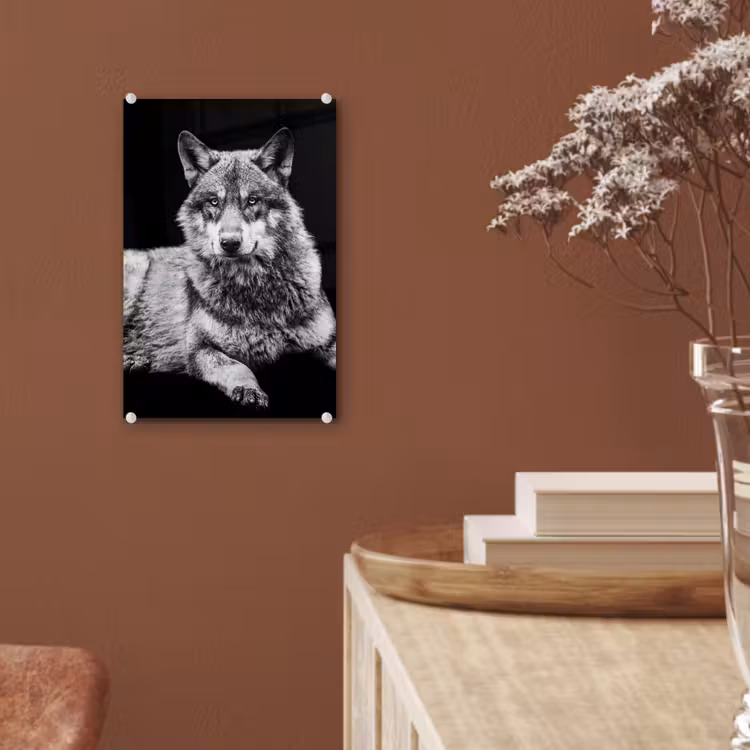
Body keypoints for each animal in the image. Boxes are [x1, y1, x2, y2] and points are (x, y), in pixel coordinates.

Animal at [123, 127, 336, 410]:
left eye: (252, 200)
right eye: (214, 202)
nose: (230, 243)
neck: (255, 287)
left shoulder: (327, 341)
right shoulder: (200, 349)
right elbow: (238, 367)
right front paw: (249, 390)